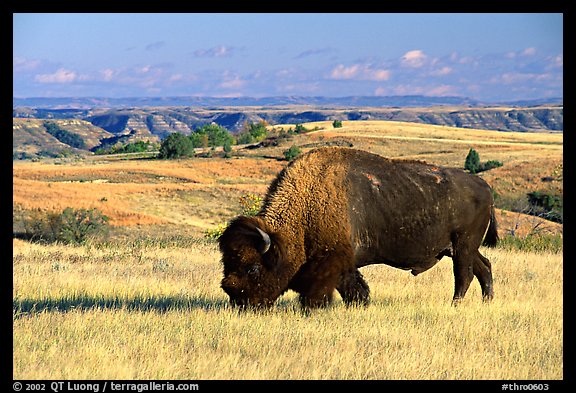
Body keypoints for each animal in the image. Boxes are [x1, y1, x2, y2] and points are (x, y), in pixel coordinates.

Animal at [218, 145, 498, 308]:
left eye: (253, 267)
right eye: (227, 263)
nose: (237, 299)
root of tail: (484, 186)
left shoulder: (334, 261)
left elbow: (336, 289)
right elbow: (355, 287)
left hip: (463, 246)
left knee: (464, 274)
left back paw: (455, 304)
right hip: (459, 248)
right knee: (484, 267)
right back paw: (487, 301)